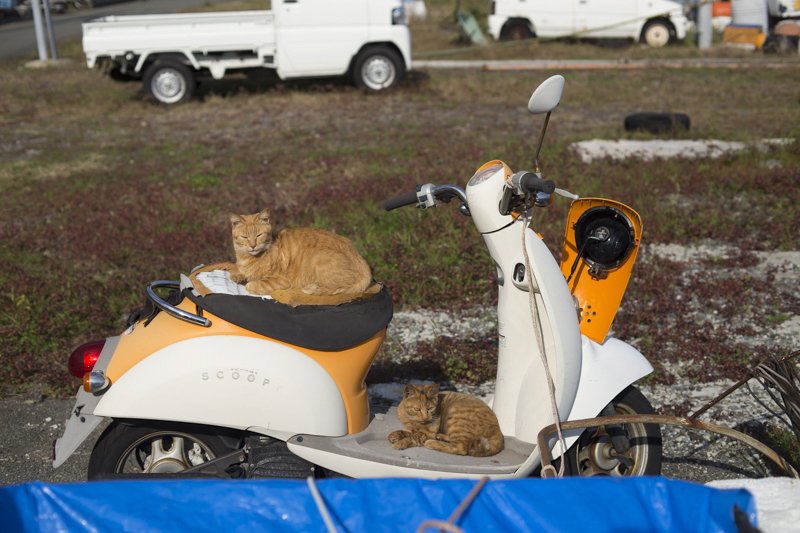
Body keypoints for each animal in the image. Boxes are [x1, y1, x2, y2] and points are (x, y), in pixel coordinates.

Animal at [189, 209, 376, 306]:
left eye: (258, 235)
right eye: (244, 237)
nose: (252, 245)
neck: (250, 259)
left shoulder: (279, 280)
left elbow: (253, 284)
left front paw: (248, 281)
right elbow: (236, 271)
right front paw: (238, 275)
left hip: (320, 259)